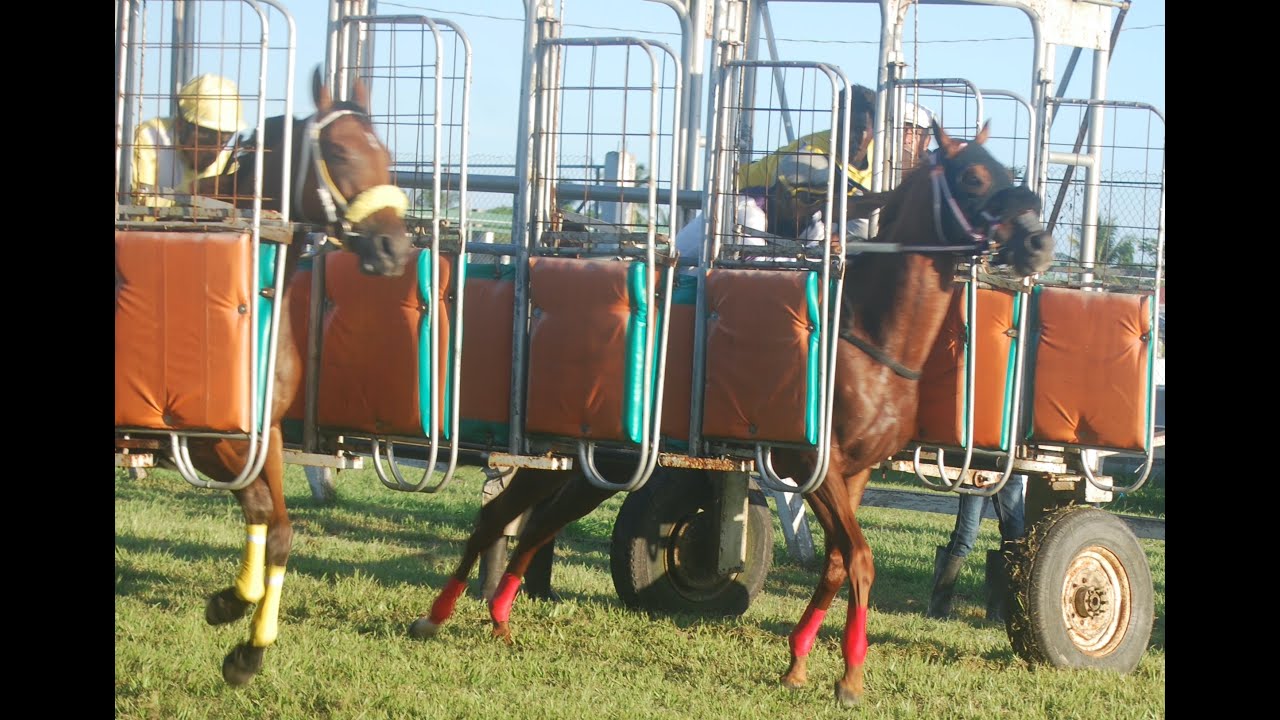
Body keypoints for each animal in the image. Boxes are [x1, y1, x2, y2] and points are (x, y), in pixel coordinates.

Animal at [174, 67, 413, 686]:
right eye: (339, 151)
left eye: (386, 155)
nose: (394, 249)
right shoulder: (209, 435)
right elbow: (263, 512)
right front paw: (237, 611)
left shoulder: (268, 432)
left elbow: (276, 525)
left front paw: (245, 637)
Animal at [408, 120, 1054, 705]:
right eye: (973, 177)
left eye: (1005, 170)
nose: (1038, 243)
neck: (867, 338)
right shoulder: (812, 464)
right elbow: (861, 559)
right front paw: (849, 678)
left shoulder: (859, 472)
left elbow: (838, 563)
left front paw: (797, 664)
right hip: (558, 442)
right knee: (498, 518)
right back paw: (436, 615)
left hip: (600, 463)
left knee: (539, 523)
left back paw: (499, 616)